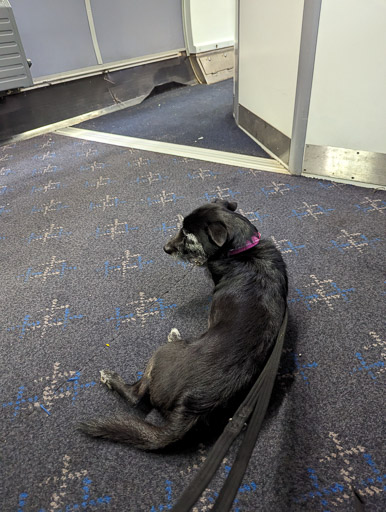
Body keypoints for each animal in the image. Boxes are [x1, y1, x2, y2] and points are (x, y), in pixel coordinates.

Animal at [80, 199, 288, 448]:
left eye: (189, 236)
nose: (165, 248)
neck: (244, 250)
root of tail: (193, 407)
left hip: (161, 354)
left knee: (136, 395)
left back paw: (114, 376)